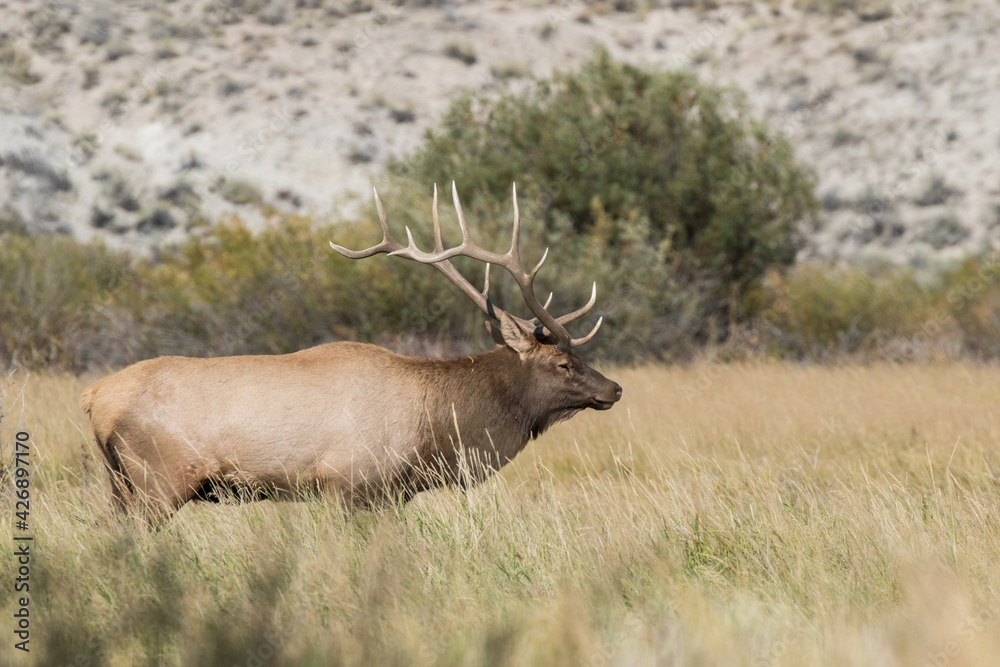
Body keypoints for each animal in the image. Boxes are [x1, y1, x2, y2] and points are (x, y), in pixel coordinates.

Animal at [81, 183, 622, 524]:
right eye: (564, 364)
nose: (614, 388)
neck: (435, 432)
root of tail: (94, 397)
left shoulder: (388, 494)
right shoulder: (352, 483)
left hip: (119, 485)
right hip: (158, 480)